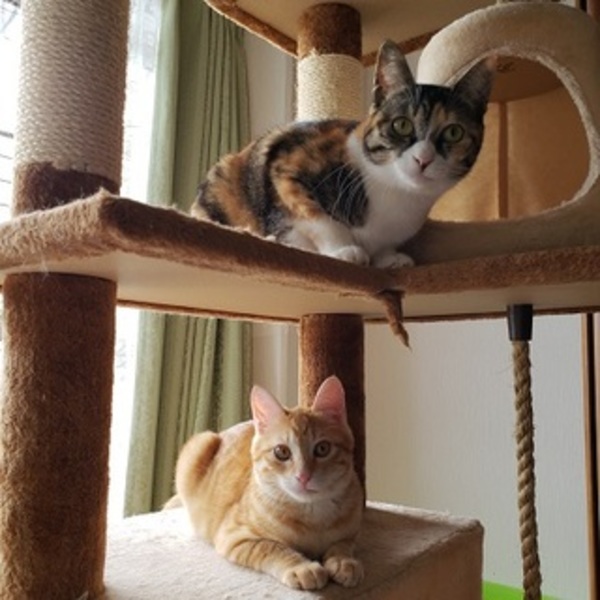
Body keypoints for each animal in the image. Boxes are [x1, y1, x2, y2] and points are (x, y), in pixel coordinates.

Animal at [174, 375, 364, 591]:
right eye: (281, 452)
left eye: (322, 448)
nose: (303, 476)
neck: (313, 516)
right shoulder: (236, 536)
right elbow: (272, 547)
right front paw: (302, 567)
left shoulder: (352, 532)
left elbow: (344, 544)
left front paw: (343, 561)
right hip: (199, 444)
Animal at [191, 40, 493, 268]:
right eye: (401, 124)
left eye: (454, 132)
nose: (423, 159)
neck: (398, 196)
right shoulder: (287, 164)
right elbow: (316, 216)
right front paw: (344, 249)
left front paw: (389, 258)